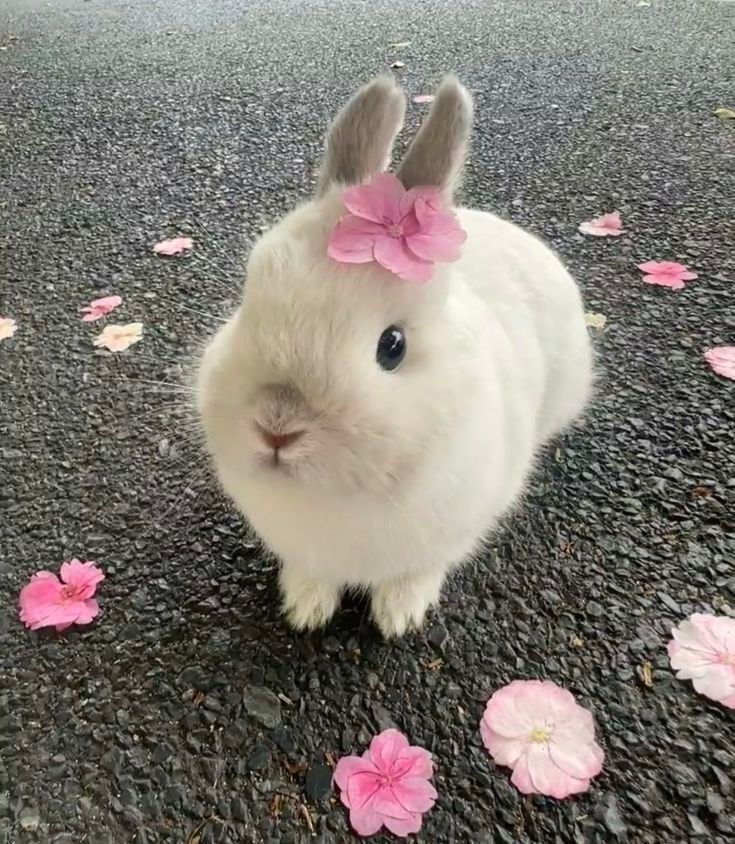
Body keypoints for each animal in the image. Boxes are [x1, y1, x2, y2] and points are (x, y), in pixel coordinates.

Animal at [195, 75, 593, 638]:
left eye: (393, 346)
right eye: (249, 298)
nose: (276, 427)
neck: (337, 497)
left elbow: (416, 572)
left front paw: (399, 616)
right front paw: (305, 608)